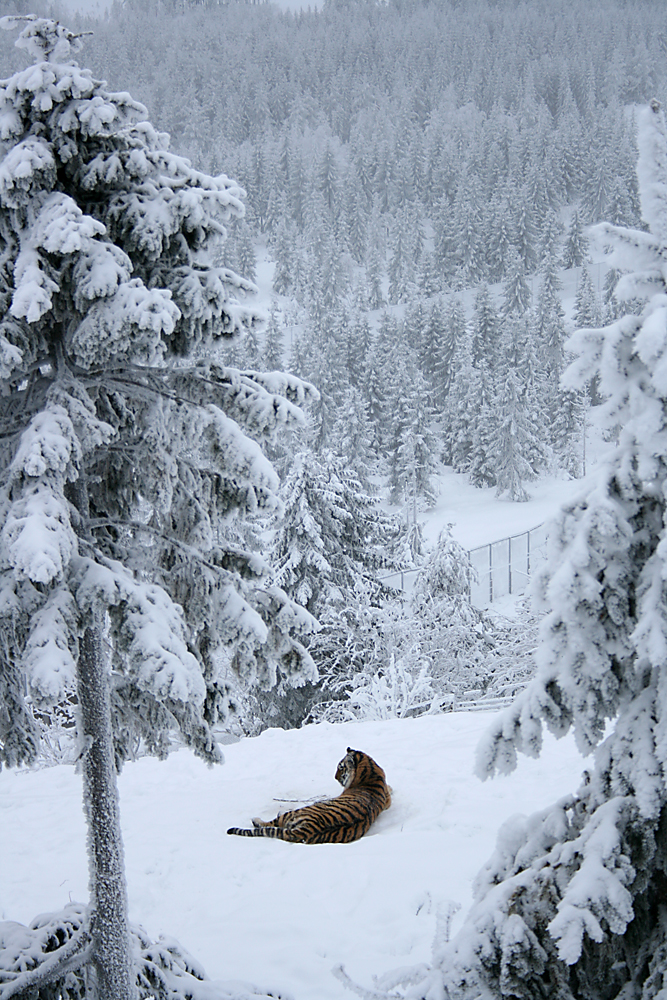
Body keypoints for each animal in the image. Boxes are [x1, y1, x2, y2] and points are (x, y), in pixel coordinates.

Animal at [226, 747, 391, 844]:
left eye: (341, 767)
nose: (335, 777)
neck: (371, 772)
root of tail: (308, 830)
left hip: (295, 812)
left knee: (269, 823)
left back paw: (256, 820)